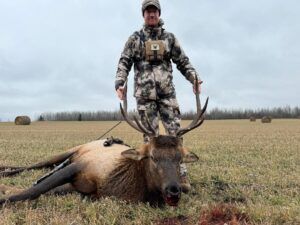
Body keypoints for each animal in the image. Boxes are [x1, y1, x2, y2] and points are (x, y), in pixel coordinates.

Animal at [0, 85, 209, 207]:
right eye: (152, 157)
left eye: (180, 158)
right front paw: (4, 193)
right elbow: (31, 191)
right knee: (33, 165)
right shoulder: (80, 164)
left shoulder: (80, 188)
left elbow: (43, 190)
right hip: (70, 151)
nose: (174, 189)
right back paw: (5, 169)